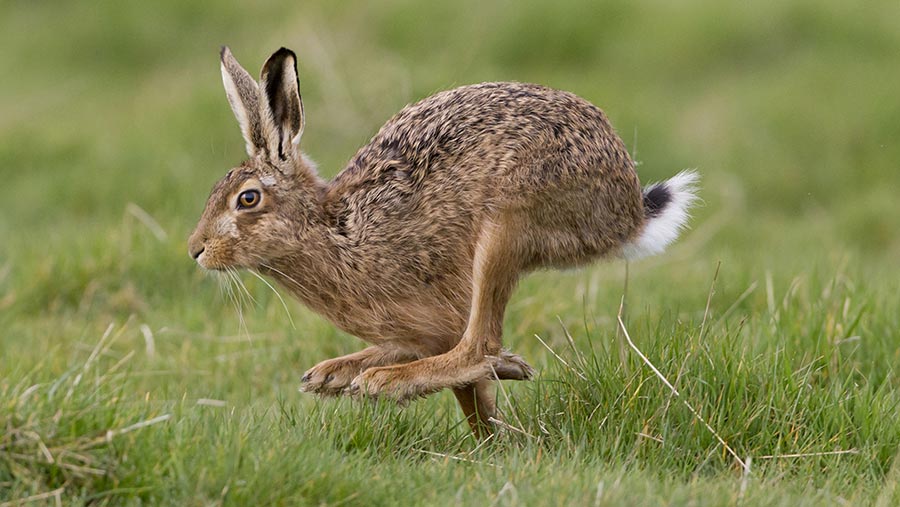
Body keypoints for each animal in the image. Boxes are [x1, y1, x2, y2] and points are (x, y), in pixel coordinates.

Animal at [188, 46, 699, 436]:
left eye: (247, 199)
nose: (196, 249)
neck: (331, 227)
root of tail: (628, 208)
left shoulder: (442, 311)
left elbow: (469, 377)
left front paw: (492, 440)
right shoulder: (417, 329)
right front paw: (329, 375)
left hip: (506, 226)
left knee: (481, 345)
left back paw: (388, 382)